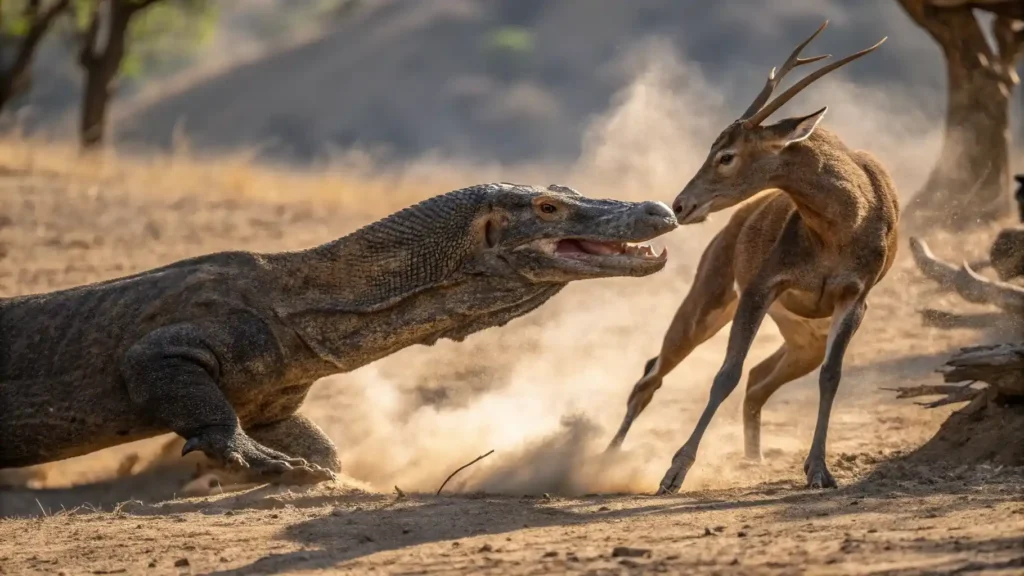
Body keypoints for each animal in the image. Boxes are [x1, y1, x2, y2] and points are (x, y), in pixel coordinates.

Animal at [605, 21, 899, 495]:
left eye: (727, 155)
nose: (681, 204)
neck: (844, 225)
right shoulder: (760, 287)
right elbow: (726, 373)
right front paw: (674, 473)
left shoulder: (855, 297)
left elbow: (831, 376)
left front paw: (820, 471)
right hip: (709, 298)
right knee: (652, 374)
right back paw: (606, 457)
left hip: (803, 337)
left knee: (760, 380)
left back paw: (753, 459)